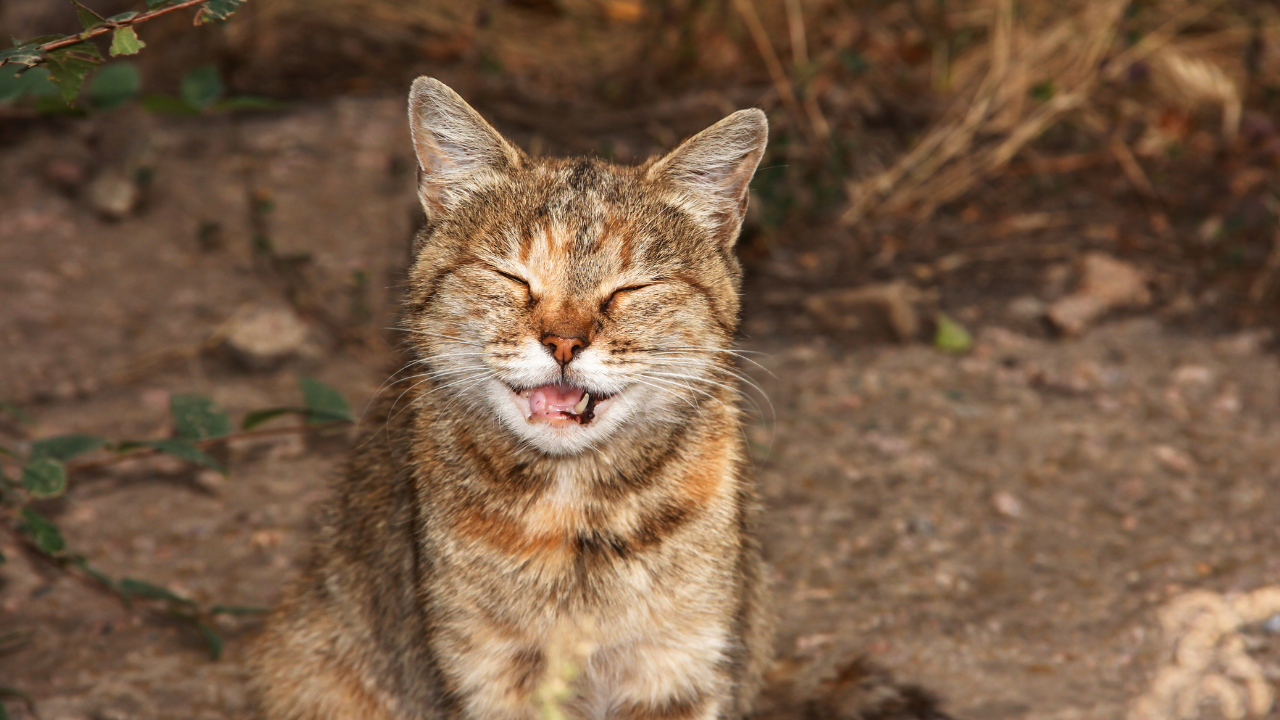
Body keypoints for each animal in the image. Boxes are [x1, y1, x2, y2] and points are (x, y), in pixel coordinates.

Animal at [249, 78, 768, 717]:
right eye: (511, 277)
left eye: (630, 288)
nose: (564, 343)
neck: (573, 509)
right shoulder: (489, 673)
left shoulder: (679, 663)